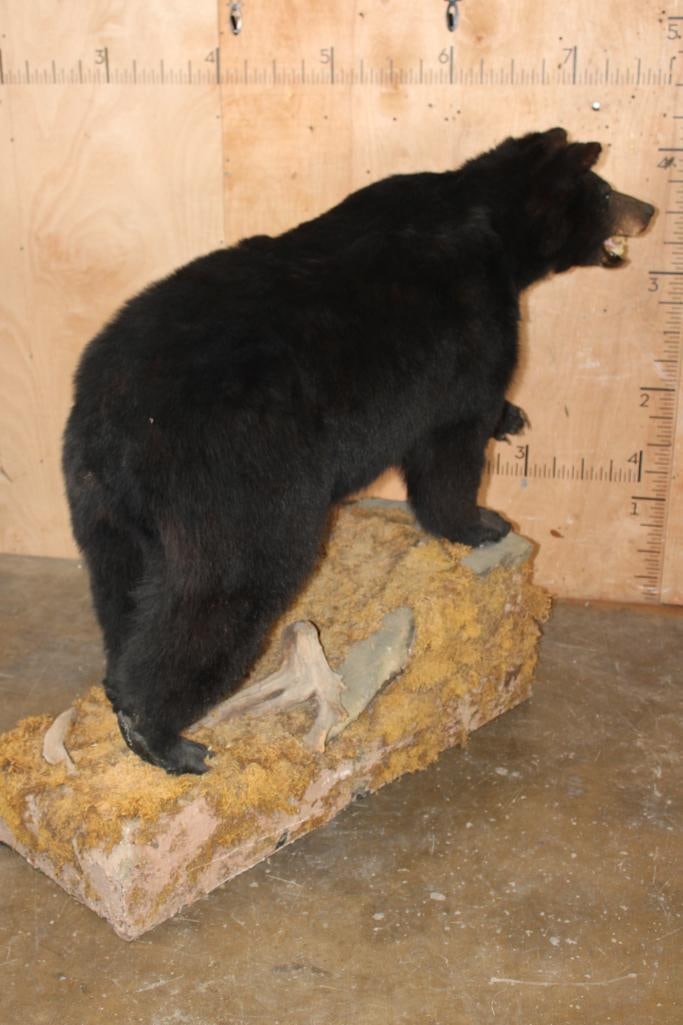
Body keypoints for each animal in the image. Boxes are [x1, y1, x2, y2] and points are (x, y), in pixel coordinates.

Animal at [62, 127, 654, 775]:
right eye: (604, 190)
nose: (649, 209)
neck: (492, 225)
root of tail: (113, 420)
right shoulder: (466, 332)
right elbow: (451, 441)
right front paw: (481, 521)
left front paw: (511, 418)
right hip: (231, 481)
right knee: (226, 586)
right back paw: (165, 738)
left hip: (106, 510)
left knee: (124, 588)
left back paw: (118, 689)